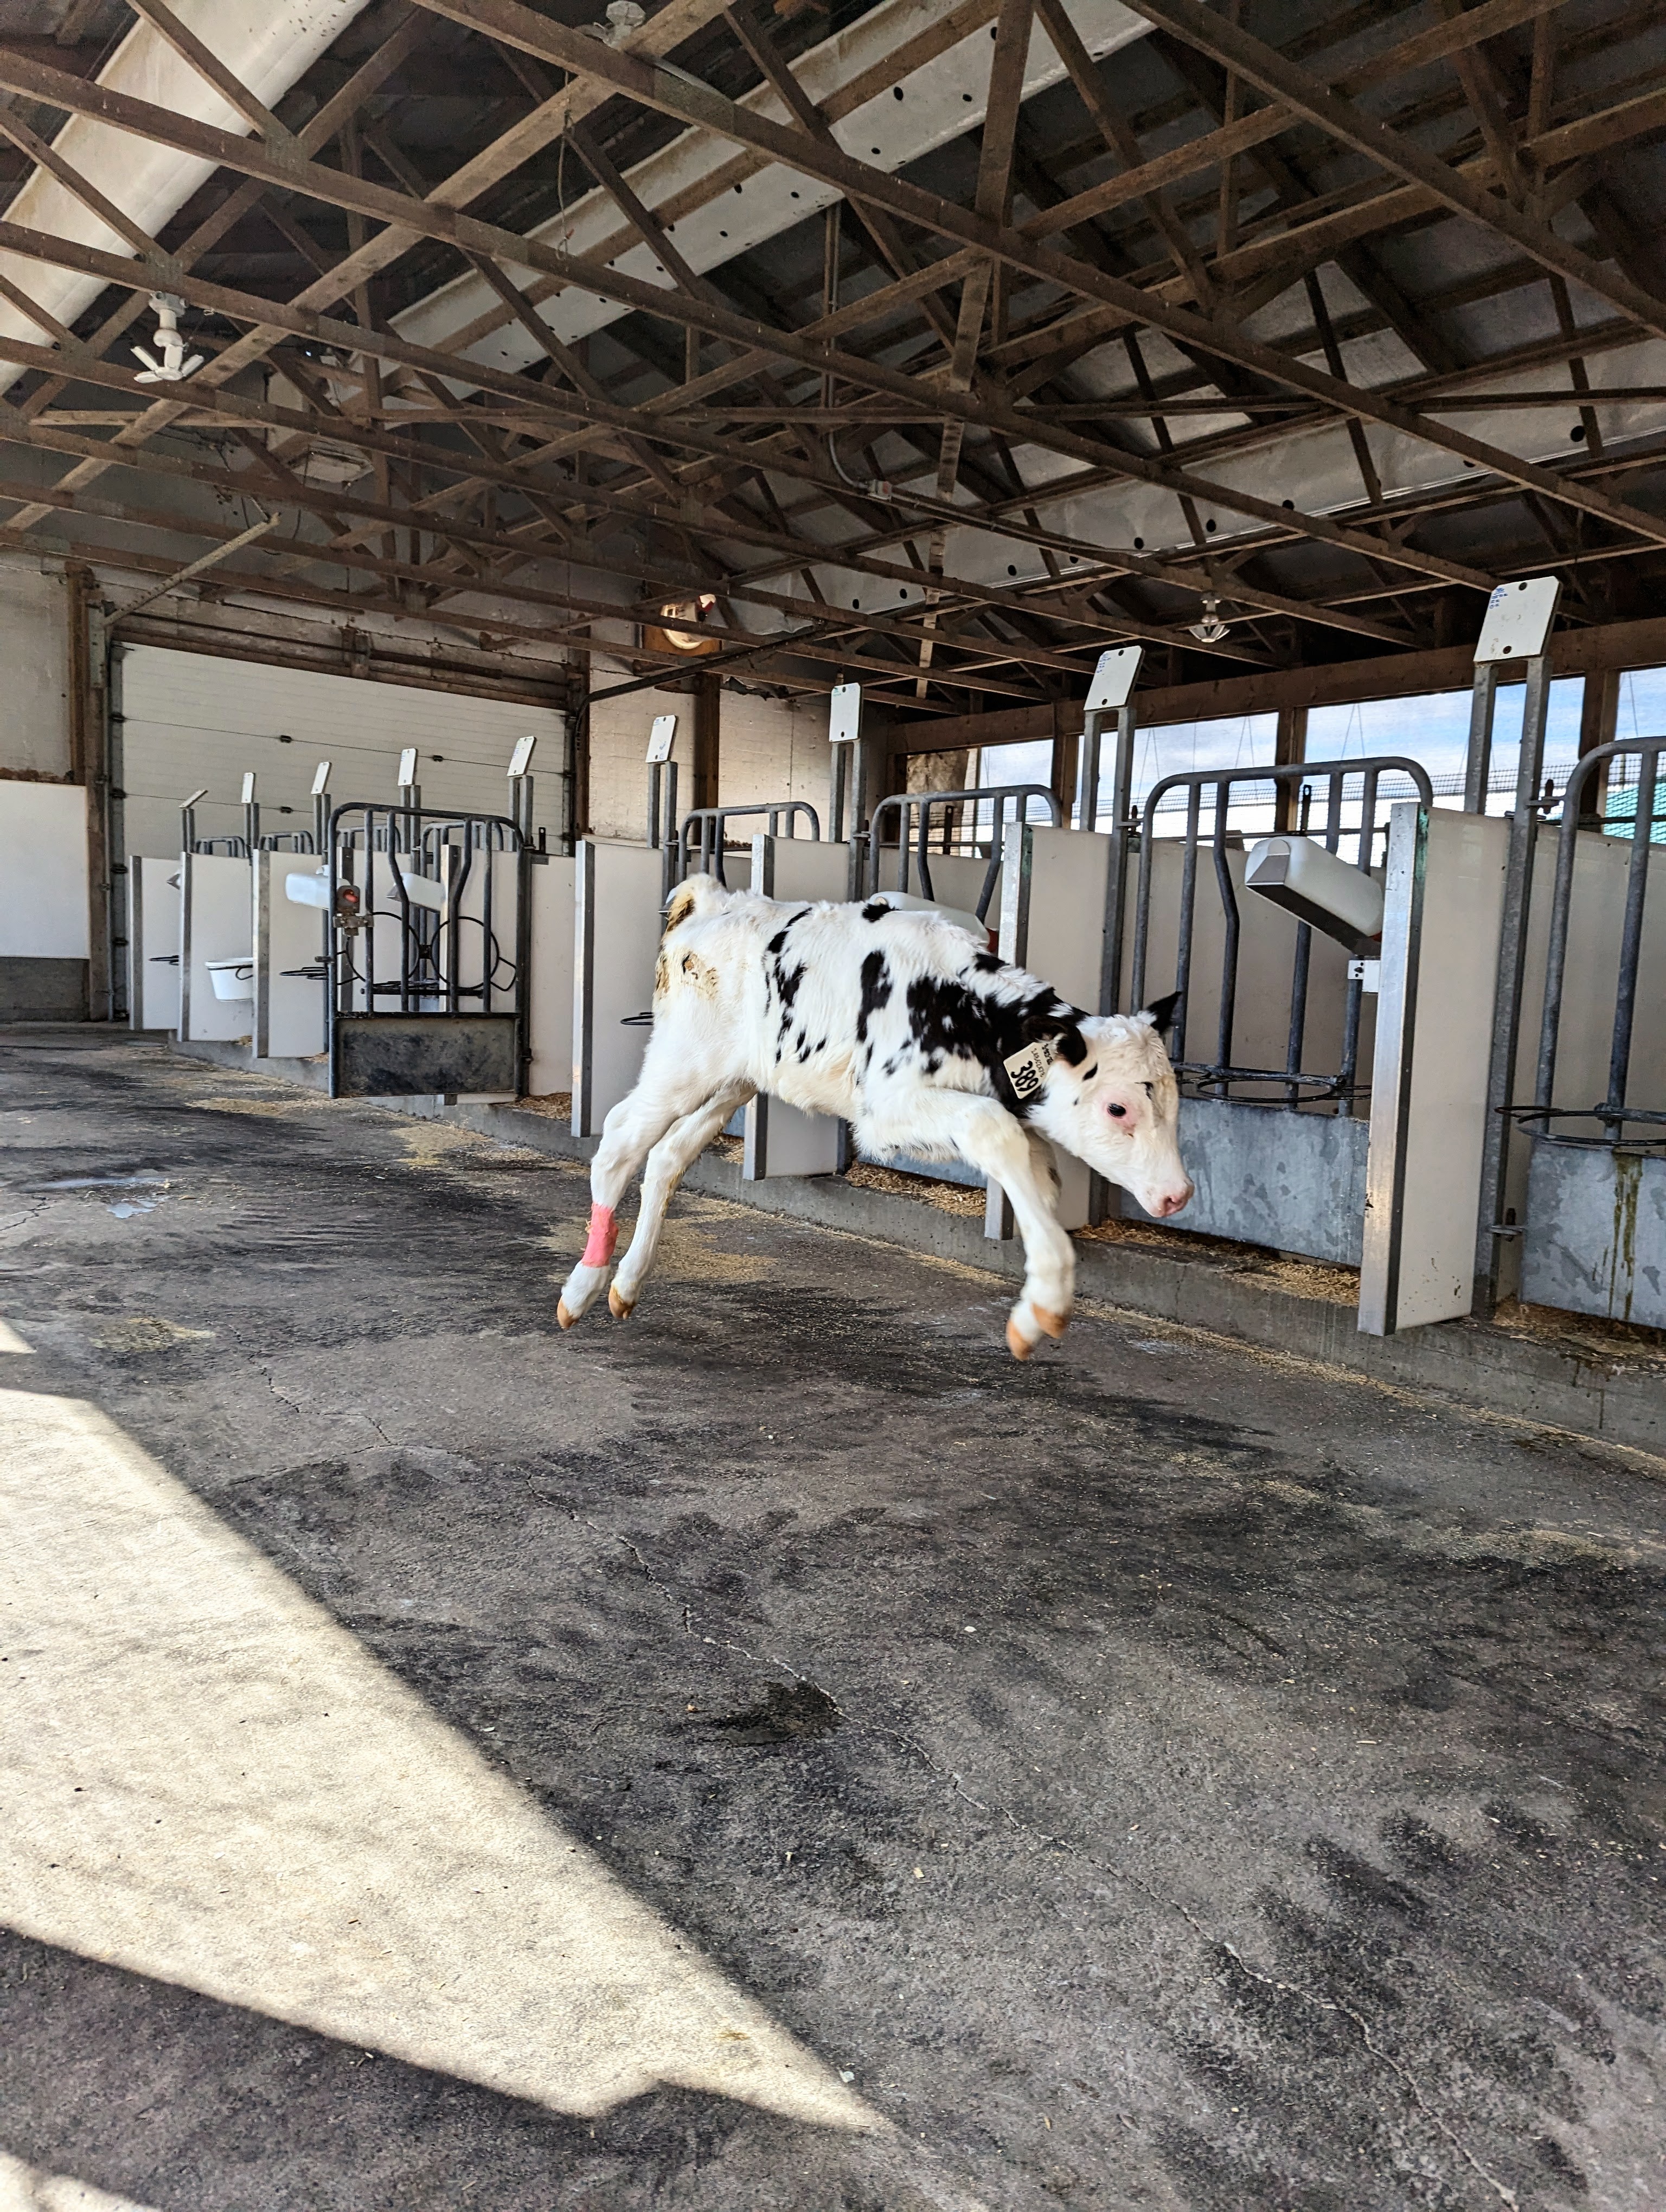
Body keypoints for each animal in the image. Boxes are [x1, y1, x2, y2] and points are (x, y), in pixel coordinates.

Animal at [566, 871, 1186, 1353]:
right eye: (1118, 1107)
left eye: (1175, 1103)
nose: (1178, 1195)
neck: (955, 1001)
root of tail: (716, 900)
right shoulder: (886, 1110)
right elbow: (995, 1130)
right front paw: (1049, 1298)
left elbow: (1038, 1168)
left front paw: (1040, 1292)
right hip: (681, 1062)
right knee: (619, 1140)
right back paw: (584, 1285)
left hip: (733, 1080)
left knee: (667, 1157)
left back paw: (626, 1285)